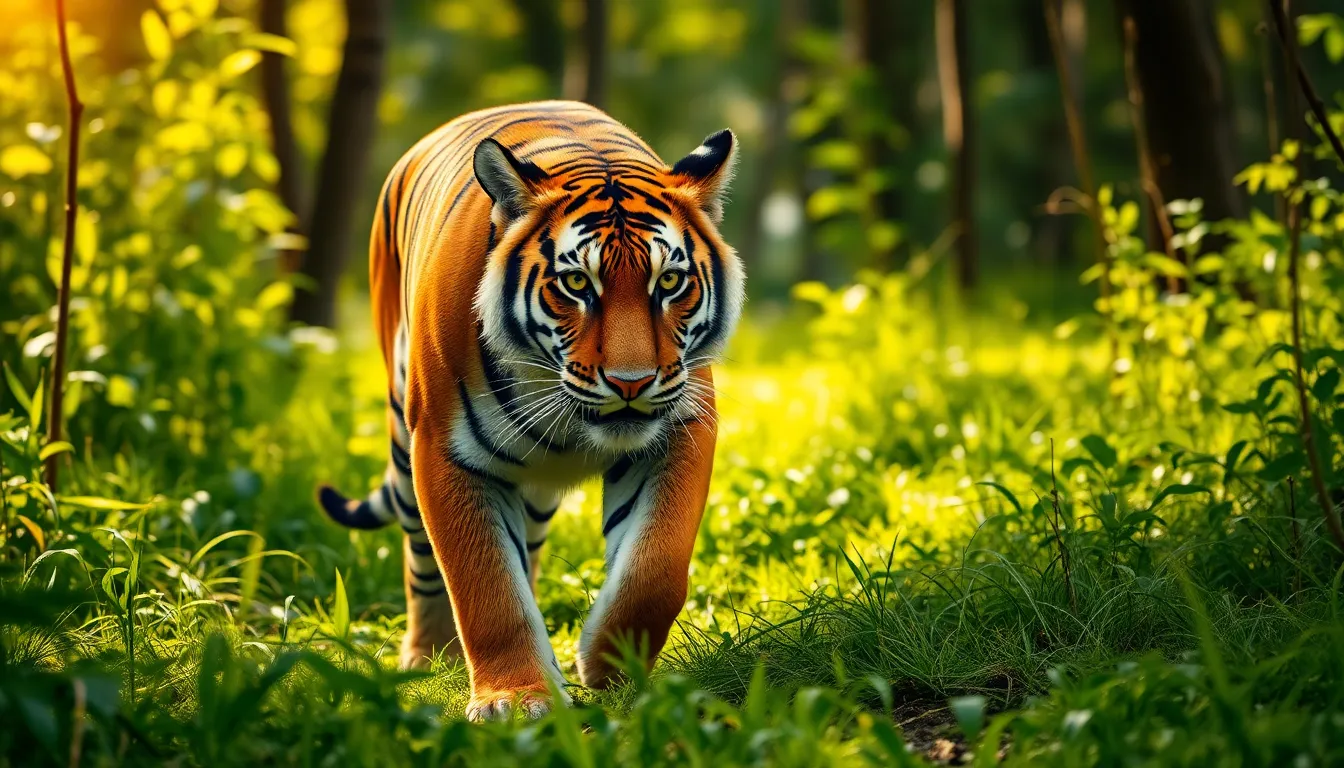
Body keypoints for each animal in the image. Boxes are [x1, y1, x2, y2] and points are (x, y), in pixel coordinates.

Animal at [317, 101, 742, 721]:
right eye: (576, 283)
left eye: (668, 281)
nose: (632, 383)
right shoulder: (443, 452)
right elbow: (486, 586)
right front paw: (515, 699)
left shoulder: (681, 428)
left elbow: (654, 568)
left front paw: (608, 665)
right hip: (404, 433)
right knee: (422, 559)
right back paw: (428, 656)